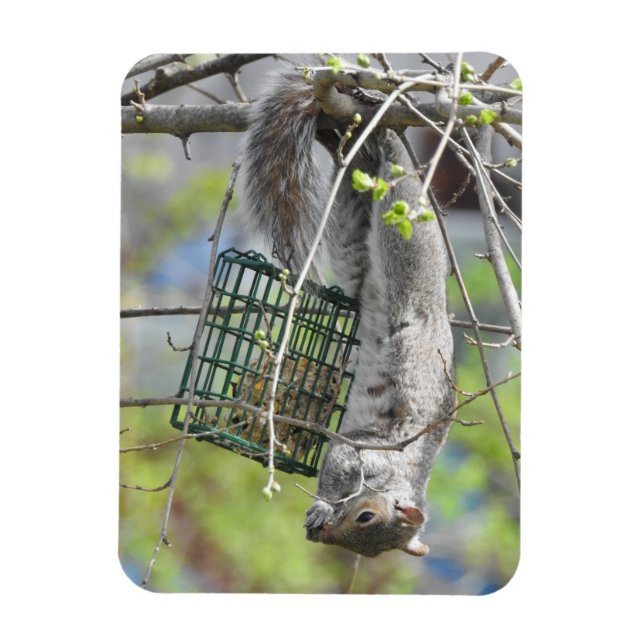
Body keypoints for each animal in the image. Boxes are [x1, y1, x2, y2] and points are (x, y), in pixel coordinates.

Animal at [240, 65, 455, 557]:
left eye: (366, 542)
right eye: (365, 516)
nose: (322, 537)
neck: (401, 479)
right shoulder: (365, 450)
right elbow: (336, 465)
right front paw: (321, 505)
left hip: (354, 244)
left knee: (358, 172)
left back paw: (336, 134)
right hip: (404, 241)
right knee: (393, 170)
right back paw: (372, 119)